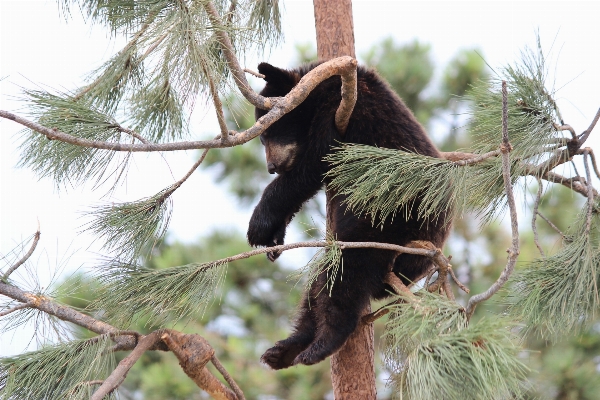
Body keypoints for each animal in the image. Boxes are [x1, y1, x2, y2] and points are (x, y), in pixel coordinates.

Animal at [246, 60, 448, 368]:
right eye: (262, 139)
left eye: (269, 133)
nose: (271, 166)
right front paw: (274, 240)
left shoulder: (340, 111)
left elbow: (310, 167)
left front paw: (258, 225)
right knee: (321, 279)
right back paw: (286, 349)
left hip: (388, 221)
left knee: (347, 270)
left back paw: (322, 344)